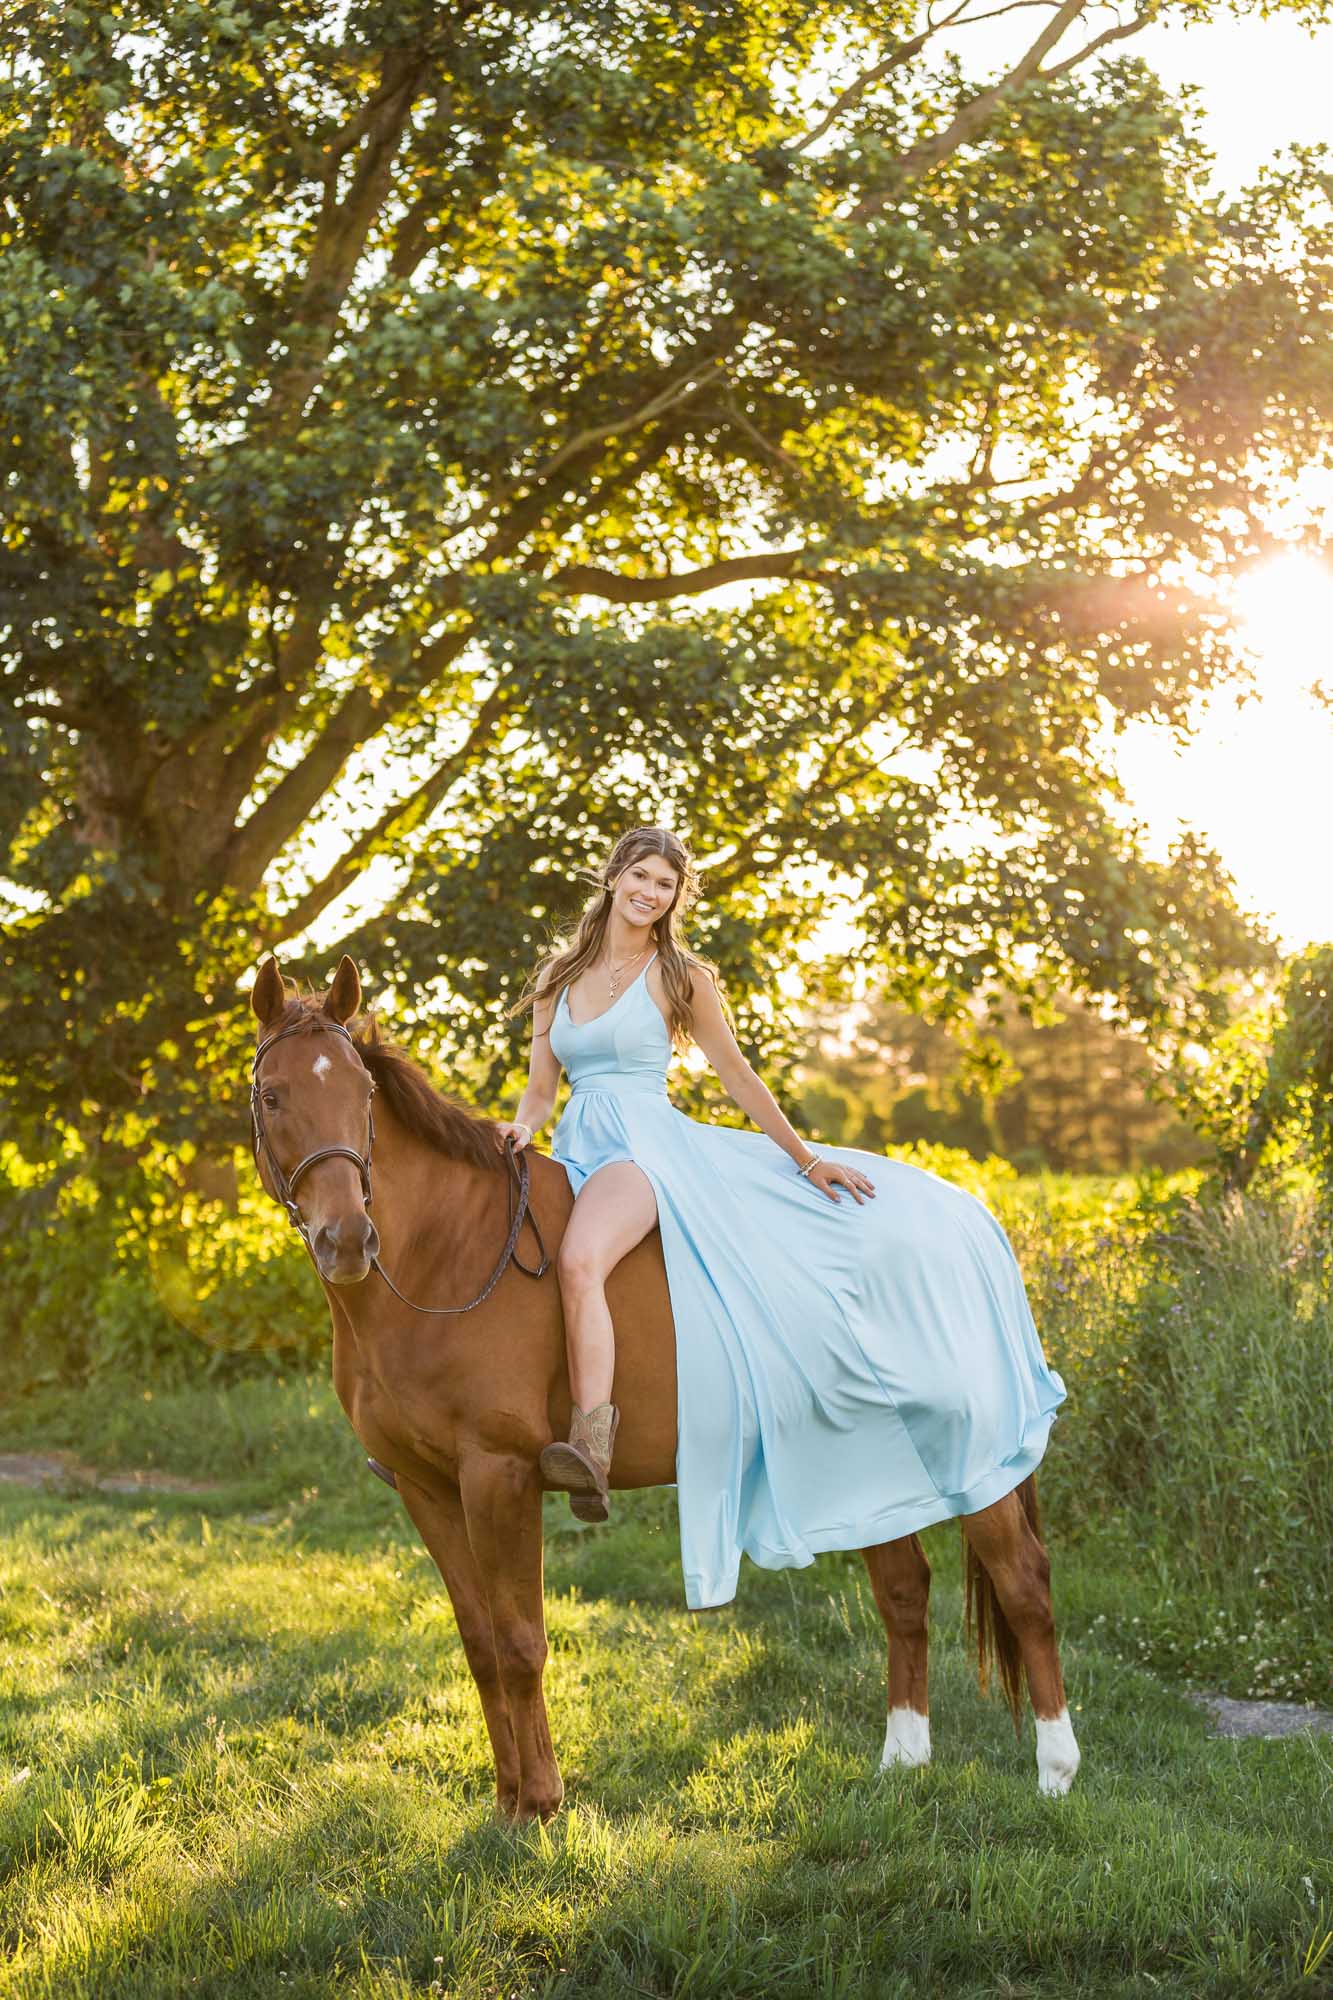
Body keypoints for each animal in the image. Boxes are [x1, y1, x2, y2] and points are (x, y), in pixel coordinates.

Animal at [246, 956, 1080, 1832]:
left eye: (362, 1094)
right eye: (273, 1096)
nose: (347, 1239)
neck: (449, 1256)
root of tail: (972, 1218)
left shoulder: (498, 1476)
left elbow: (520, 1642)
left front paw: (539, 1806)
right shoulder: (426, 1487)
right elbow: (479, 1645)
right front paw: (507, 1803)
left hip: (970, 1463)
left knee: (1024, 1587)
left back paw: (1055, 1771)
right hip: (873, 1463)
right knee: (903, 1592)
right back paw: (901, 1763)